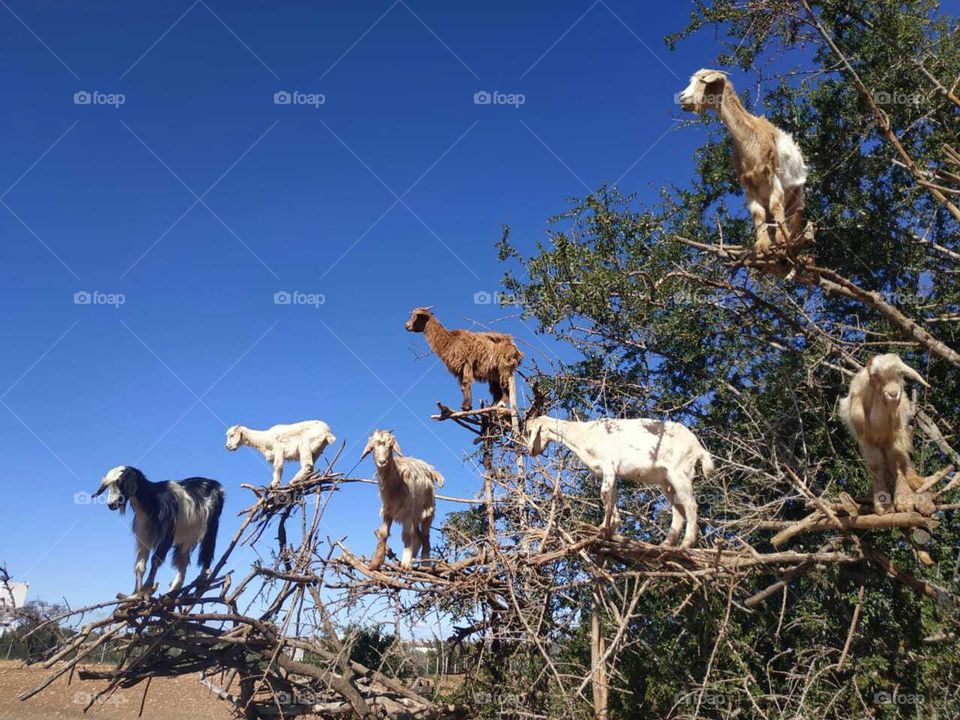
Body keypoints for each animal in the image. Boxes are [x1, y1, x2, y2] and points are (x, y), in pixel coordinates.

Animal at [93, 466, 226, 596]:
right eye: (108, 486)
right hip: (187, 536)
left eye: (121, 481)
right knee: (182, 560)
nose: (111, 504)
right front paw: (136, 592)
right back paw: (173, 591)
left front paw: (147, 587)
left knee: (207, 550)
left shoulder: (167, 532)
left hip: (211, 526)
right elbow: (139, 566)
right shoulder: (143, 535)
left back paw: (201, 582)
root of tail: (217, 486)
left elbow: (155, 559)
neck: (152, 500)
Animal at [362, 430, 444, 572]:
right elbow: (383, 533)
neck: (397, 483)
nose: (382, 462)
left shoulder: (407, 511)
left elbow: (406, 535)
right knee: (418, 536)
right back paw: (414, 557)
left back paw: (425, 563)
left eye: (390, 446)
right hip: (415, 515)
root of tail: (431, 470)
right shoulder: (388, 510)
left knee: (425, 535)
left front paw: (406, 563)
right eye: (372, 447)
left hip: (427, 509)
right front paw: (375, 563)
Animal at [524, 416, 712, 544]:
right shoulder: (609, 473)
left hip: (680, 472)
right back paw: (666, 545)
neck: (585, 435)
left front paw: (605, 528)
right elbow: (611, 495)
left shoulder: (609, 466)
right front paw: (611, 526)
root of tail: (697, 446)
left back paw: (686, 544)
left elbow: (604, 493)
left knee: (691, 505)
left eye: (530, 431)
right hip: (666, 481)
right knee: (678, 510)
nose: (531, 450)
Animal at [676, 68, 808, 253]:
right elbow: (757, 212)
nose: (682, 97)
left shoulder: (771, 172)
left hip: (797, 196)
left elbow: (776, 203)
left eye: (703, 79)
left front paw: (782, 239)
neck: (749, 138)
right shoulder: (748, 182)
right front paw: (762, 245)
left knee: (791, 215)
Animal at [836, 352, 932, 516]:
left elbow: (898, 462)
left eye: (900, 374)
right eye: (875, 376)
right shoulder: (867, 441)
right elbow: (876, 467)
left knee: (903, 462)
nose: (893, 394)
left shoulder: (895, 436)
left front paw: (905, 502)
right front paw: (882, 504)